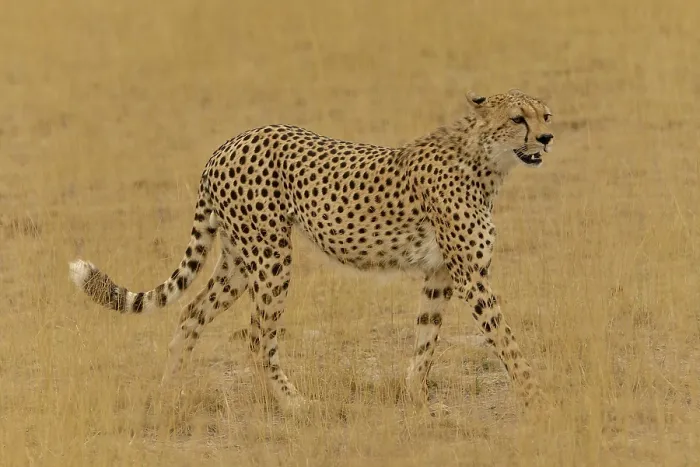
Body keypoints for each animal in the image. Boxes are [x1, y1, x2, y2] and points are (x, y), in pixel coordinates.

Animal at [68, 88, 555, 414]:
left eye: (546, 115)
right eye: (518, 119)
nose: (548, 138)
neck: (485, 162)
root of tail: (226, 145)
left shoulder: (438, 275)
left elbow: (426, 339)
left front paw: (418, 399)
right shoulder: (470, 275)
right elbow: (505, 338)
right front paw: (536, 395)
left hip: (238, 262)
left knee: (192, 313)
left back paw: (170, 392)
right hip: (271, 257)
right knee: (257, 335)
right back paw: (291, 403)